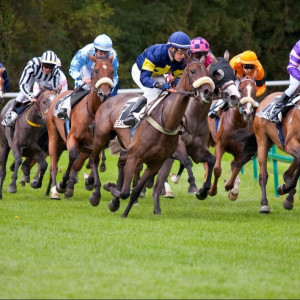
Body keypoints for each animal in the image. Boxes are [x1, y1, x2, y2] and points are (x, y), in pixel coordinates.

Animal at [46, 56, 113, 199]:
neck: (93, 113)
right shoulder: (72, 137)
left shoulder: (93, 145)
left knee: (77, 164)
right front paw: (62, 184)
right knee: (54, 165)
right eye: (96, 70)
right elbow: (72, 156)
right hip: (54, 137)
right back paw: (54, 190)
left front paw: (88, 182)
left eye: (112, 71)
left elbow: (89, 161)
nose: (104, 94)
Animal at [89, 58, 216, 218]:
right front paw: (110, 188)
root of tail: (109, 99)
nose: (208, 91)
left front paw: (122, 210)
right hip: (101, 137)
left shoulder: (158, 161)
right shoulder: (136, 156)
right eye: (193, 71)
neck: (166, 120)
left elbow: (135, 191)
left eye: (207, 73)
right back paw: (96, 194)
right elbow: (125, 192)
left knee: (120, 163)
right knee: (94, 159)